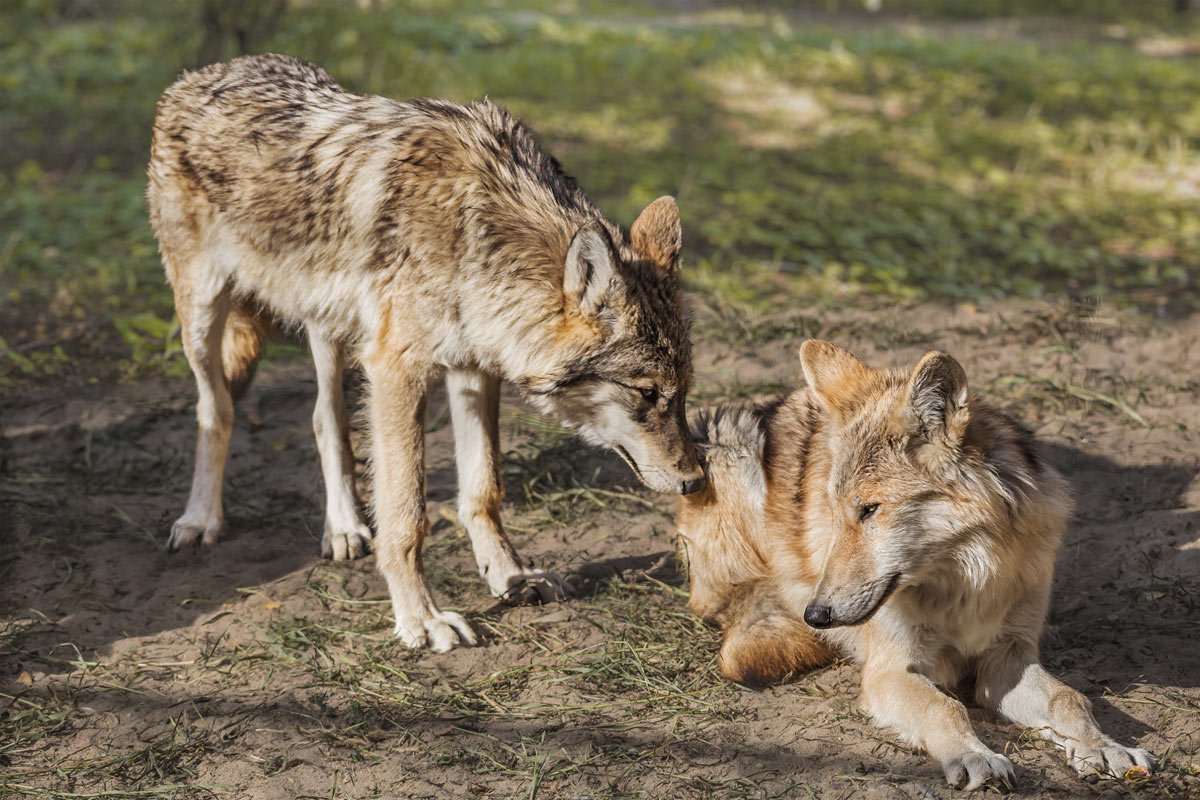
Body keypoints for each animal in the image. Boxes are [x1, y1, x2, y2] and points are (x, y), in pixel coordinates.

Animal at [147, 54, 700, 652]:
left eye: (682, 394)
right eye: (648, 393)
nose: (697, 481)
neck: (479, 231)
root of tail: (204, 72)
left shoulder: (473, 369)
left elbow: (483, 488)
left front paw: (510, 576)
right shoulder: (398, 369)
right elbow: (407, 515)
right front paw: (421, 617)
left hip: (330, 328)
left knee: (325, 419)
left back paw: (343, 528)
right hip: (203, 316)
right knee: (217, 409)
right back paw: (201, 519)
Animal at [676, 340, 1152, 791]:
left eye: (869, 509)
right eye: (834, 512)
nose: (817, 615)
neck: (965, 584)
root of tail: (781, 401)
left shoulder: (1007, 656)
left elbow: (1069, 699)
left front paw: (1105, 748)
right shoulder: (889, 671)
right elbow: (946, 706)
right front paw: (975, 756)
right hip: (730, 441)